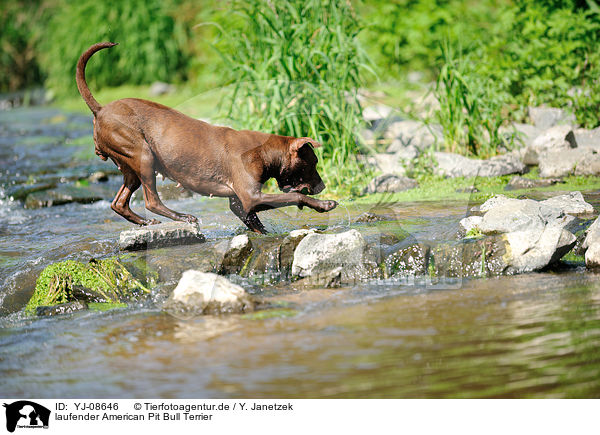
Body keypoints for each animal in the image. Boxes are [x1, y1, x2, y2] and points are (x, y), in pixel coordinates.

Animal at [74, 42, 338, 233]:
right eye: (313, 162)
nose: (323, 186)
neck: (265, 150)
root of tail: (100, 109)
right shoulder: (251, 197)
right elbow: (295, 195)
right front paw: (325, 204)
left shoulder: (239, 203)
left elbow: (254, 221)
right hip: (143, 155)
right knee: (151, 201)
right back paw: (182, 217)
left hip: (130, 167)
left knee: (119, 202)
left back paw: (145, 223)